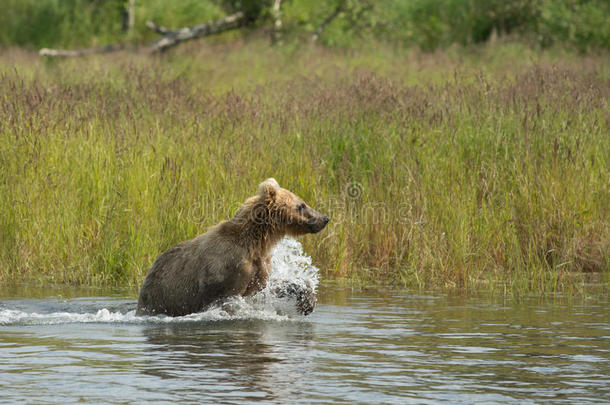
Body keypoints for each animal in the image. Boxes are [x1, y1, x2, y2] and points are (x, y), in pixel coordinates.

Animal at [136, 178, 330, 318]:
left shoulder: (258, 265)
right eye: (301, 205)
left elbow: (270, 286)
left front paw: (307, 299)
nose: (325, 218)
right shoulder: (227, 268)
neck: (256, 242)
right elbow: (227, 299)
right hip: (163, 295)